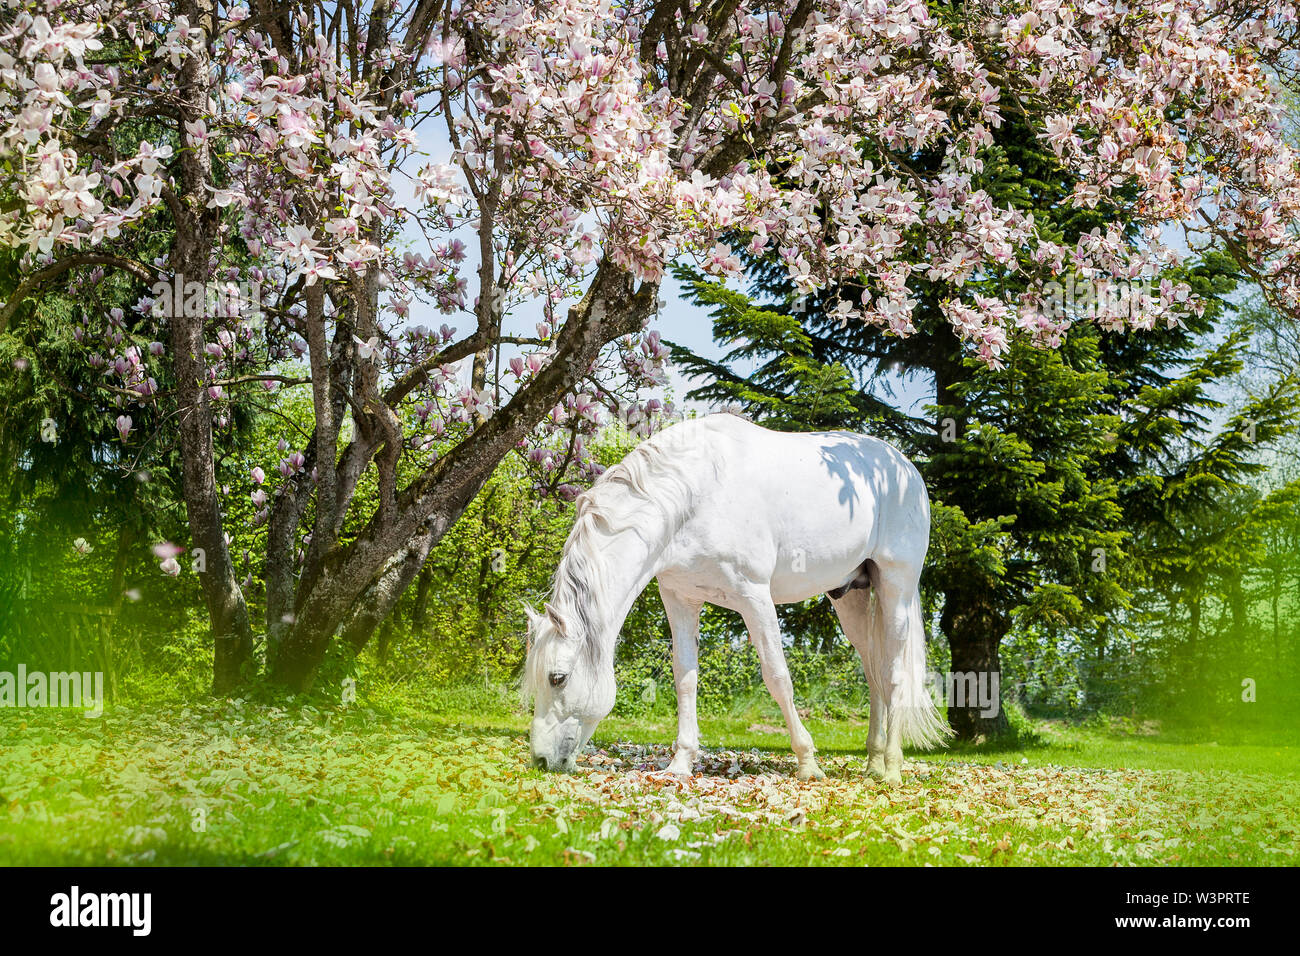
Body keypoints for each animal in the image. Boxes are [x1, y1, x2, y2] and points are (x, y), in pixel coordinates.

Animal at [523, 413, 951, 784]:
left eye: (557, 677)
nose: (541, 761)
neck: (692, 495)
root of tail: (904, 468)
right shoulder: (679, 599)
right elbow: (685, 679)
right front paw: (681, 763)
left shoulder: (754, 597)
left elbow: (778, 677)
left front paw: (808, 762)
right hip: (850, 597)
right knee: (873, 672)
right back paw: (873, 764)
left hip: (896, 587)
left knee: (893, 673)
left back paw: (892, 769)